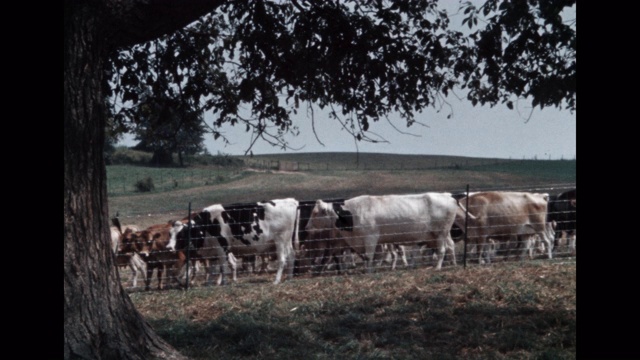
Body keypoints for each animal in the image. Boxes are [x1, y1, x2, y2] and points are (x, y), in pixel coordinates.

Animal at [304, 193, 460, 272]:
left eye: (316, 213)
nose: (306, 227)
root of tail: (449, 197)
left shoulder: (371, 238)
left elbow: (368, 257)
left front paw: (368, 271)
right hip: (443, 234)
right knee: (451, 246)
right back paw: (453, 264)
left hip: (440, 233)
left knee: (442, 250)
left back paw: (438, 267)